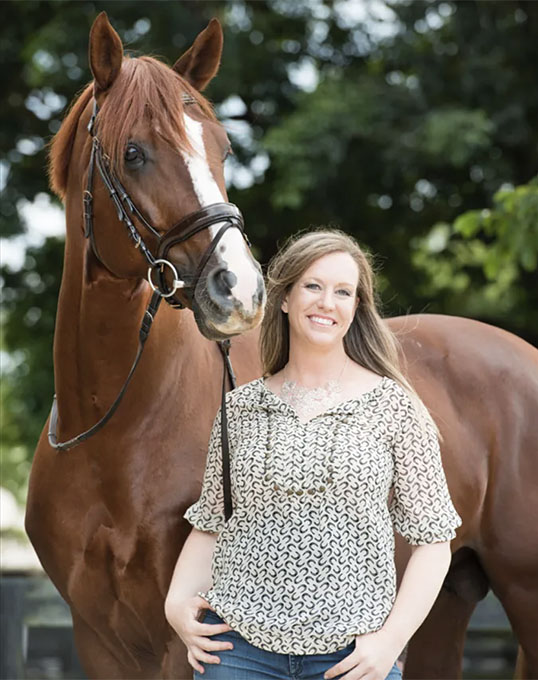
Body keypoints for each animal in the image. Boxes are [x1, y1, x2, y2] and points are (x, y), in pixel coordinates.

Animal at [25, 10, 536, 680]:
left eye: (223, 148)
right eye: (133, 153)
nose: (238, 288)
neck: (115, 431)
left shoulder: (181, 636)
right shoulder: (97, 637)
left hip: (524, 589)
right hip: (441, 604)